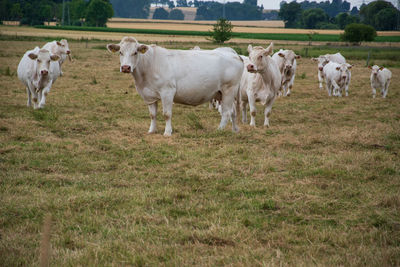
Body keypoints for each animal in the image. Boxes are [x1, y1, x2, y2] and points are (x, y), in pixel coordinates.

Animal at [107, 36, 244, 136]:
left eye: (135, 52)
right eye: (120, 52)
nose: (125, 67)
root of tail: (234, 54)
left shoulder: (167, 92)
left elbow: (167, 114)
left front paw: (167, 132)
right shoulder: (149, 95)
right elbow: (152, 114)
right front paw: (151, 130)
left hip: (229, 89)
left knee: (226, 112)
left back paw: (219, 130)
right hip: (222, 93)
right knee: (232, 111)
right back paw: (235, 130)